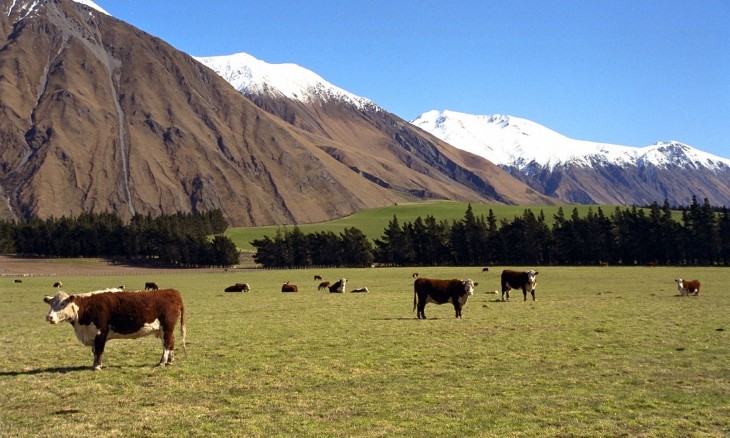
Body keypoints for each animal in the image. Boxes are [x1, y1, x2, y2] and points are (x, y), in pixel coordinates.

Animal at [43, 290, 185, 372]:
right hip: (164, 330)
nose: (49, 317)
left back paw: (162, 362)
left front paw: (97, 366)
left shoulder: (100, 333)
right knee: (171, 342)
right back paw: (170, 361)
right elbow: (95, 351)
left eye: (62, 304)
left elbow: (99, 350)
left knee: (167, 344)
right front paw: (94, 364)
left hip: (167, 327)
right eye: (51, 304)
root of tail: (172, 291)